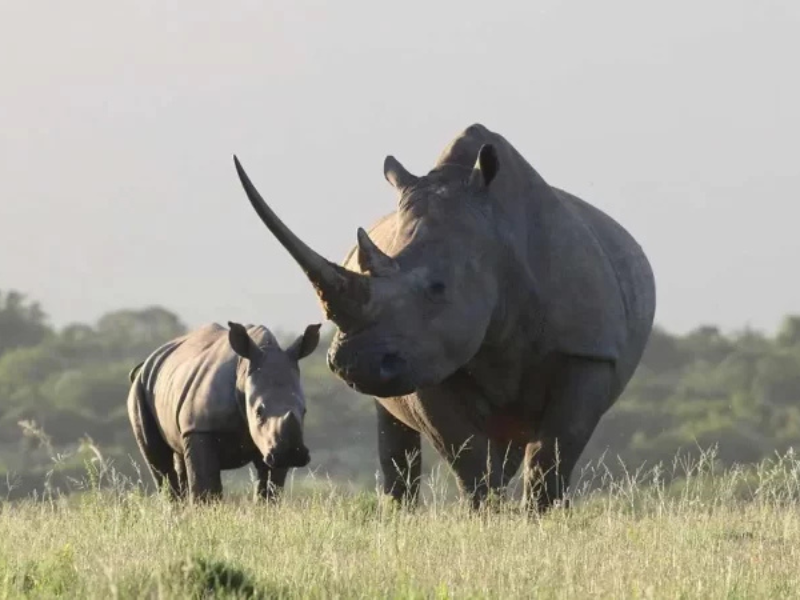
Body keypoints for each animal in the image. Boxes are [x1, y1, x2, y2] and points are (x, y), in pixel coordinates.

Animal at [127, 321, 320, 502]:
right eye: (258, 412)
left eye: (304, 411)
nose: (291, 453)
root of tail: (147, 362)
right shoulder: (199, 427)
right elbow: (206, 485)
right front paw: (207, 511)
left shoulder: (272, 444)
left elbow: (270, 487)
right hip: (140, 388)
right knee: (159, 461)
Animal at [233, 123, 656, 512]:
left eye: (438, 288)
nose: (354, 364)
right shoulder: (426, 359)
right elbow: (466, 454)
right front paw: (487, 517)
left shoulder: (588, 351)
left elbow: (554, 452)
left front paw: (542, 518)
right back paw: (400, 513)